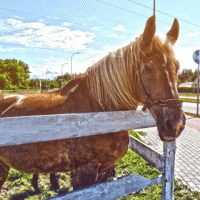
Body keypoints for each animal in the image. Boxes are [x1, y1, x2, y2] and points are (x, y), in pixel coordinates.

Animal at [0, 15, 186, 194]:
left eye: (177, 67)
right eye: (147, 68)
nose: (176, 125)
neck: (100, 112)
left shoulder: (104, 170)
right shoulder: (84, 171)